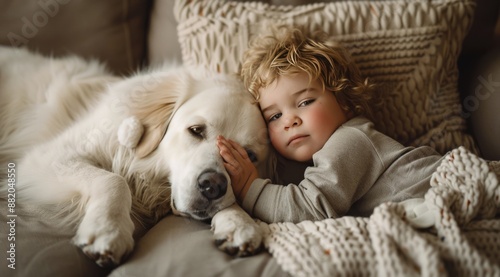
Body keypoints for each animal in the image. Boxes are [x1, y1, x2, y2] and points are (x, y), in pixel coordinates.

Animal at [0, 46, 272, 266]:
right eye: (196, 130)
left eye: (248, 155)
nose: (213, 186)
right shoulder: (49, 156)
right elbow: (114, 180)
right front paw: (108, 229)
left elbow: (233, 200)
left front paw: (240, 223)